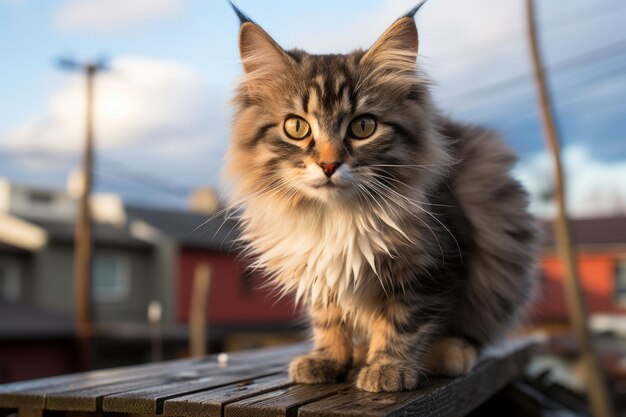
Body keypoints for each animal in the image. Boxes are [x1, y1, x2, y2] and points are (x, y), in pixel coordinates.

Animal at [224, 3, 536, 392]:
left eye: (363, 127)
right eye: (296, 127)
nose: (329, 164)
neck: (334, 216)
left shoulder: (433, 265)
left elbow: (404, 321)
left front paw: (388, 367)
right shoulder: (321, 274)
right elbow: (329, 320)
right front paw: (328, 359)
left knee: (474, 331)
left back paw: (449, 353)